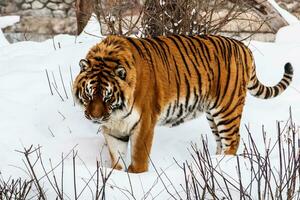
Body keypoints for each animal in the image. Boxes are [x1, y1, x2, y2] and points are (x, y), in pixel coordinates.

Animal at [72, 34, 292, 173]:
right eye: (89, 94)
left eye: (108, 97)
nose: (95, 117)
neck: (116, 113)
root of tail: (243, 47)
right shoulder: (113, 129)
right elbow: (116, 158)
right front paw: (117, 174)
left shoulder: (143, 123)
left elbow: (139, 158)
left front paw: (136, 177)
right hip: (213, 114)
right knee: (221, 141)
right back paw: (214, 162)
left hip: (227, 108)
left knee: (233, 139)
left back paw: (223, 166)